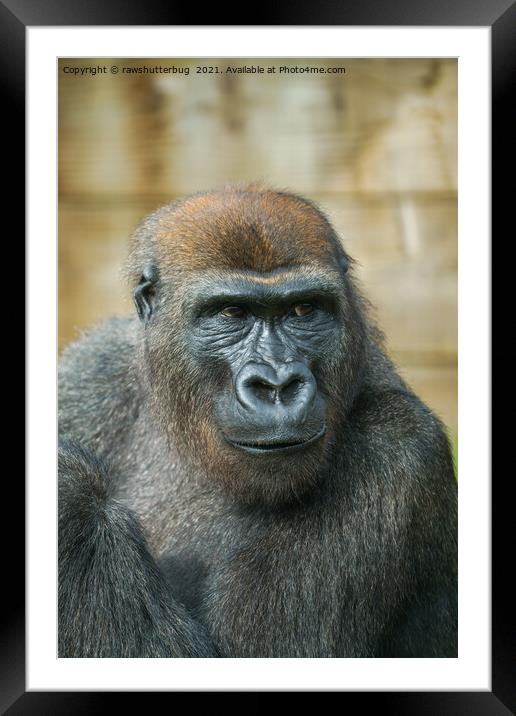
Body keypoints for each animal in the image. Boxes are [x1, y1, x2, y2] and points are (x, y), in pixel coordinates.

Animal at [58, 186, 458, 660]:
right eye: (231, 313)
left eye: (304, 310)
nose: (277, 384)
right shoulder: (90, 370)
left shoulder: (396, 449)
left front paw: (68, 492)